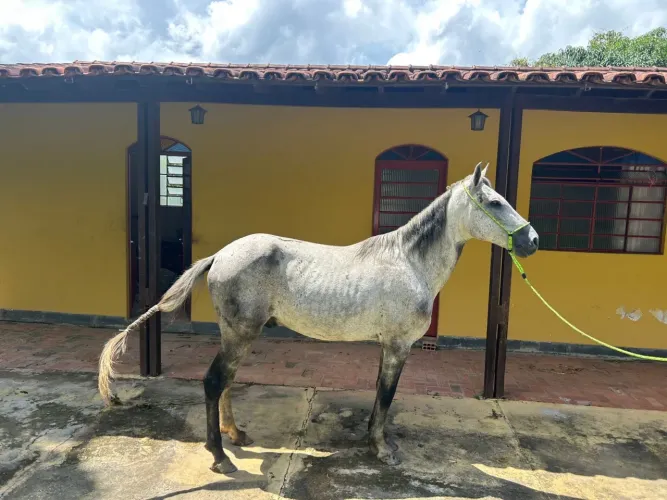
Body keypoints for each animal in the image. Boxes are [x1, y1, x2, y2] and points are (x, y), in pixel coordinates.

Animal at [98, 161, 539, 474]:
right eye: (495, 203)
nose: (532, 240)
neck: (408, 262)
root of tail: (221, 254)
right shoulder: (398, 346)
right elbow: (387, 394)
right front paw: (383, 449)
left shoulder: (387, 346)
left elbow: (379, 393)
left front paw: (374, 440)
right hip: (239, 335)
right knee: (212, 382)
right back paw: (220, 457)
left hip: (234, 336)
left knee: (224, 383)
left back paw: (235, 435)